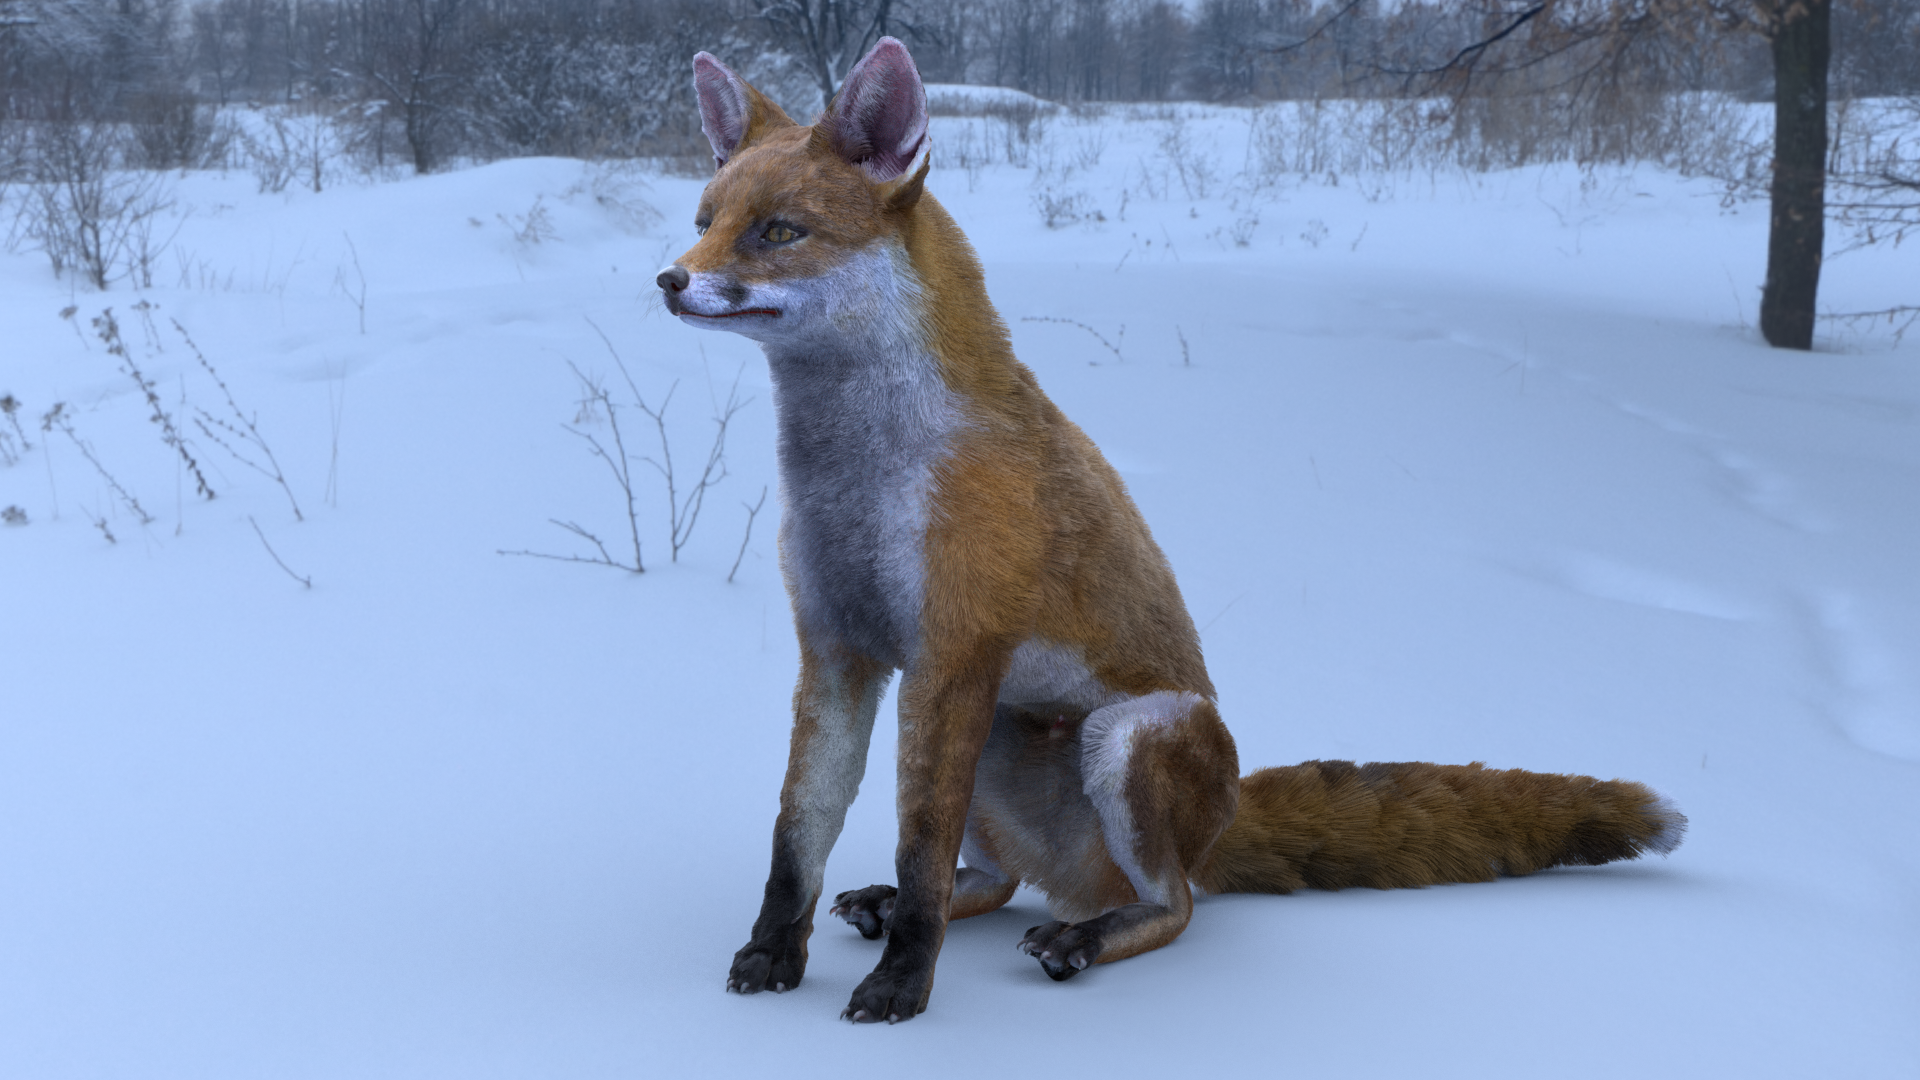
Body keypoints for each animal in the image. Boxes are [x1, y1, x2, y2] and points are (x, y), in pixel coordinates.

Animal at [655, 39, 1687, 1024]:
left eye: (778, 232)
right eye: (703, 218)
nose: (669, 278)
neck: (858, 485)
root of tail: (1219, 826)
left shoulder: (953, 655)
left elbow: (919, 853)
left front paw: (900, 990)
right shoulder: (839, 649)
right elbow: (801, 832)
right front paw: (771, 958)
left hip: (1126, 736)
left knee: (1171, 905)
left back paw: (1086, 937)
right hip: (997, 741)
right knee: (991, 880)